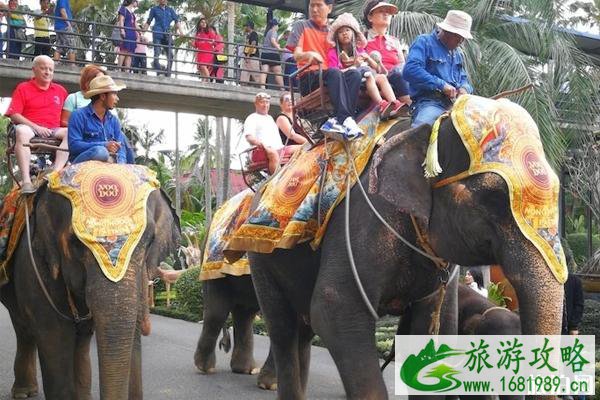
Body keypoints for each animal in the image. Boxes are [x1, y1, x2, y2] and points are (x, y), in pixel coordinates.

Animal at [0, 185, 179, 400]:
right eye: (76, 242)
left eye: (150, 240)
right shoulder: (35, 264)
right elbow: (55, 336)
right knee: (23, 328)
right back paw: (23, 392)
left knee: (82, 338)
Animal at [246, 116, 564, 400]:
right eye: (494, 197)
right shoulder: (365, 219)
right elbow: (333, 307)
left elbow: (437, 325)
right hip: (260, 258)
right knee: (283, 327)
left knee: (303, 326)